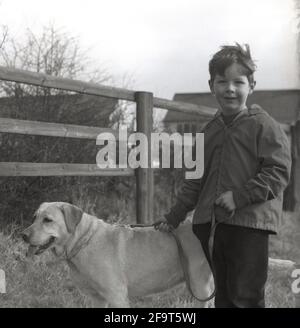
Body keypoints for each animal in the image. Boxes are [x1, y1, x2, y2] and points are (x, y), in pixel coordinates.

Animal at [21, 202, 213, 308]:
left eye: (48, 220)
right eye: (34, 218)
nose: (23, 235)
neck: (84, 240)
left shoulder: (117, 296)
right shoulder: (97, 298)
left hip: (199, 285)